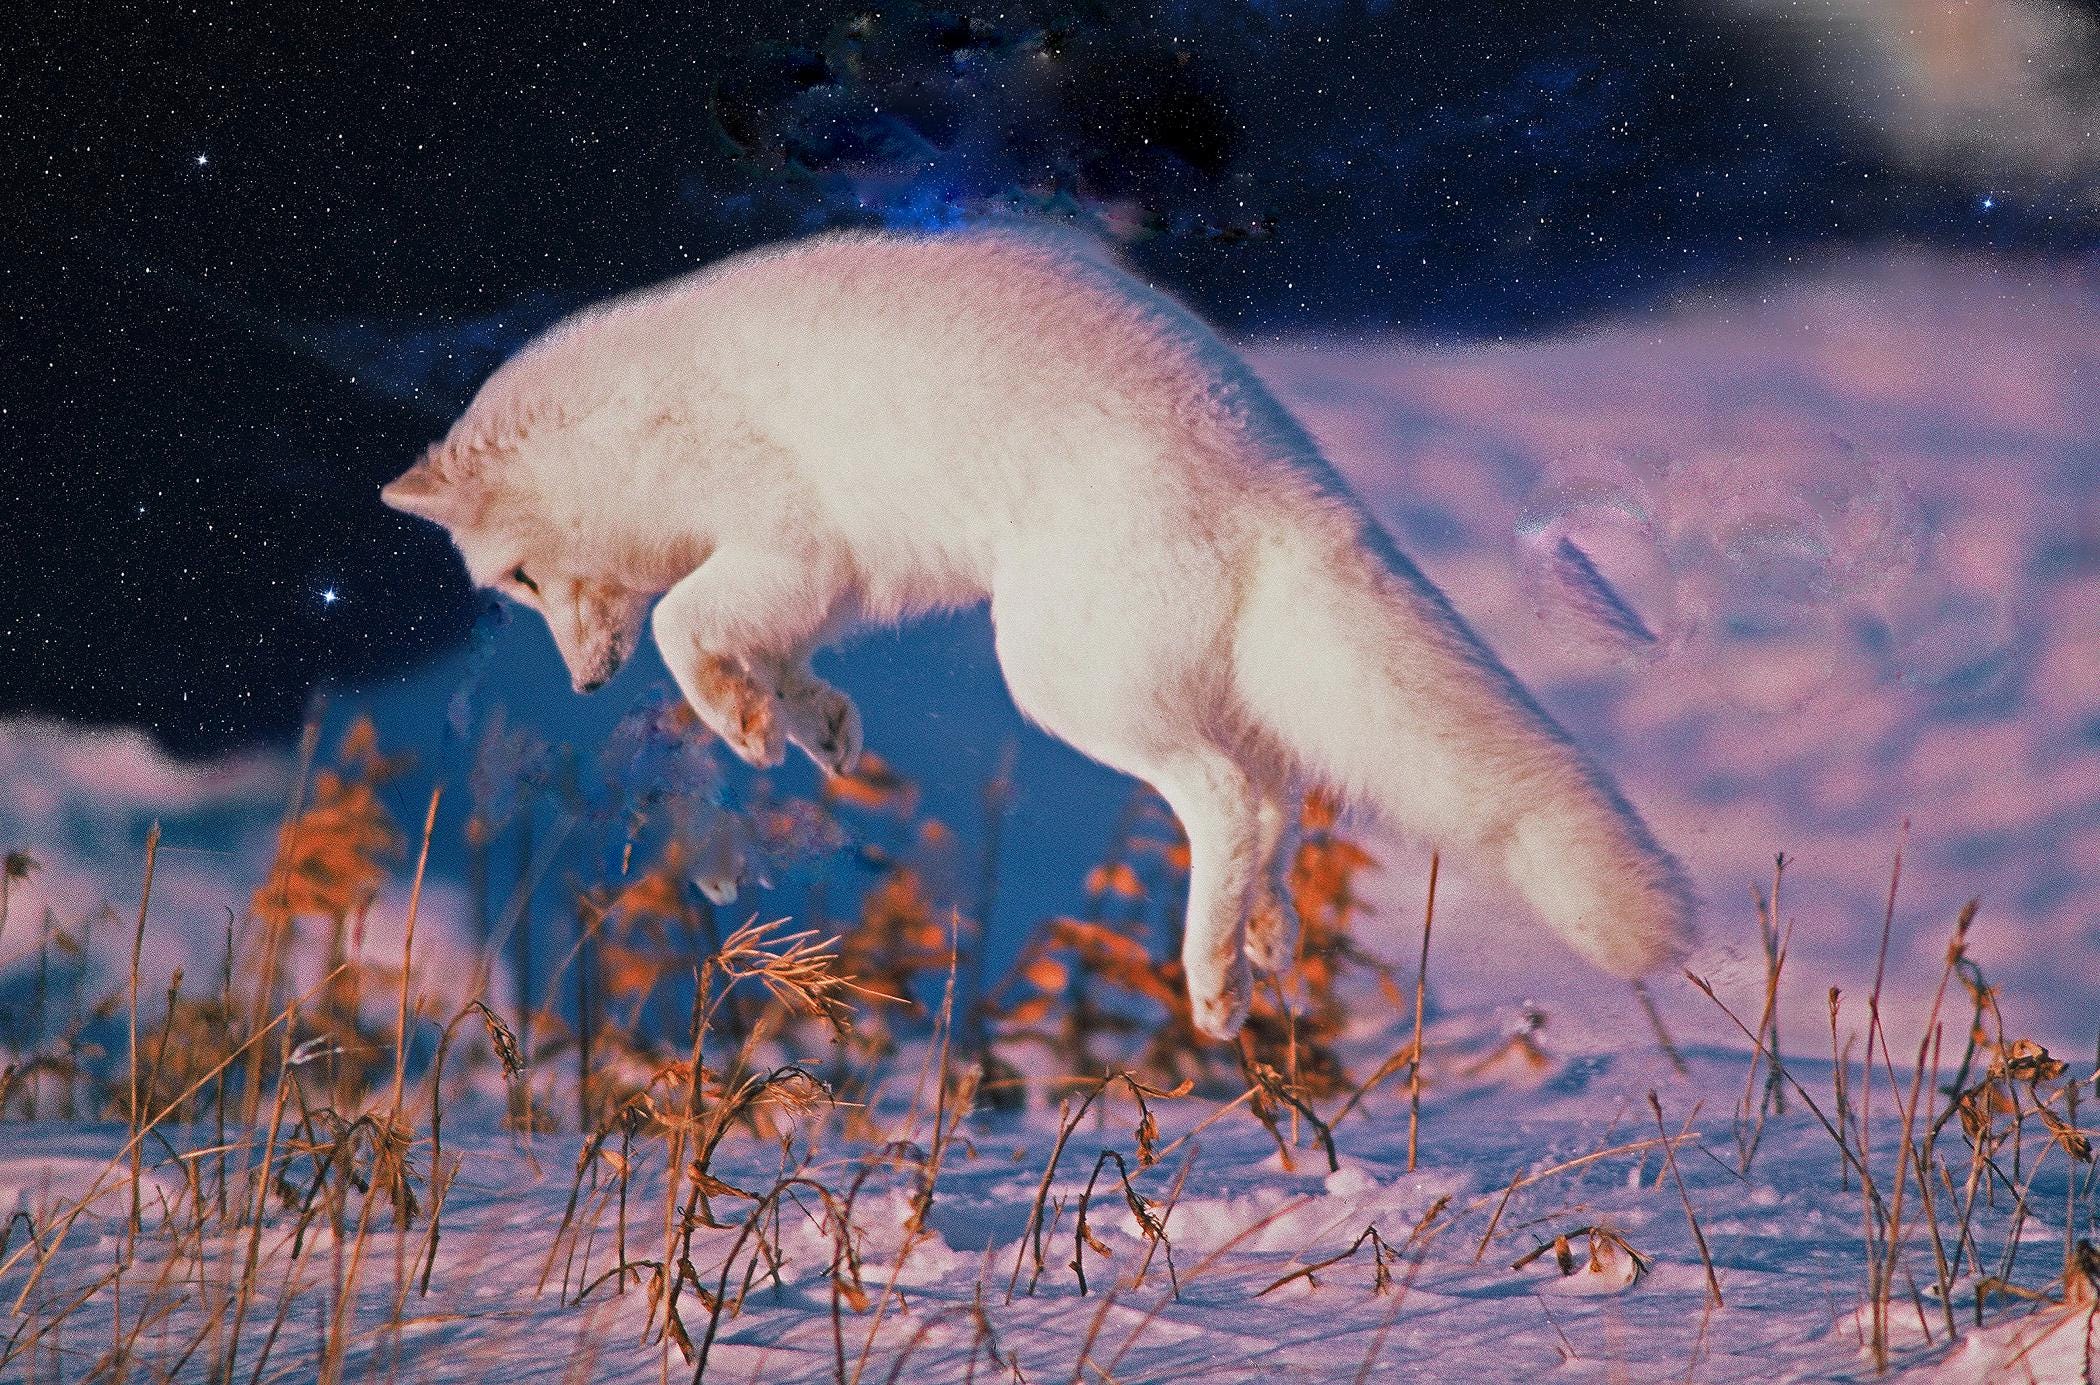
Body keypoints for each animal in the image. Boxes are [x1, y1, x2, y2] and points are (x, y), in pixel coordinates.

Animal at [381, 224, 1695, 1040]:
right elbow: (775, 651)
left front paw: (743, 722)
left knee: (1228, 799)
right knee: (1275, 804)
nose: (583, 691)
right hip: (1172, 684)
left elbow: (681, 621)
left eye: (518, 578)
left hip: (1059, 678)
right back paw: (1255, 955)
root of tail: (1279, 474)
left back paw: (1208, 977)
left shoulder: (781, 538)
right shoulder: (825, 580)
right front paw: (814, 725)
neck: (630, 422)